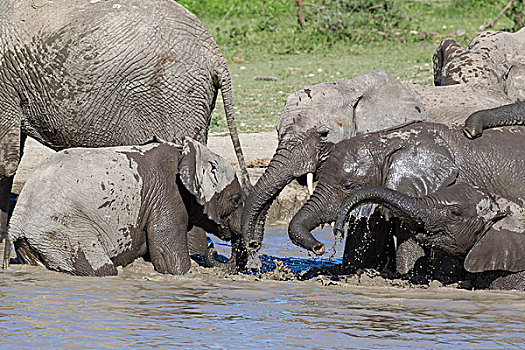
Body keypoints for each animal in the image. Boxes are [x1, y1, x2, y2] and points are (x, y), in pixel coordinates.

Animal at [7, 137, 246, 276]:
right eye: (236, 200)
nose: (213, 250)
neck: (186, 152)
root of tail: (16, 225)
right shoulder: (167, 193)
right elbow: (171, 263)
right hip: (61, 230)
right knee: (102, 269)